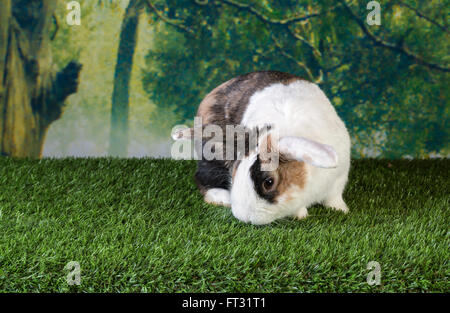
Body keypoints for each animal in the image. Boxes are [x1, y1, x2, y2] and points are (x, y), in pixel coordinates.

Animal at [172, 70, 352, 224]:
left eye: (269, 182)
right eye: (234, 171)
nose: (244, 217)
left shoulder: (339, 179)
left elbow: (334, 197)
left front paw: (341, 209)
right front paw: (300, 214)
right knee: (201, 178)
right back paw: (224, 198)